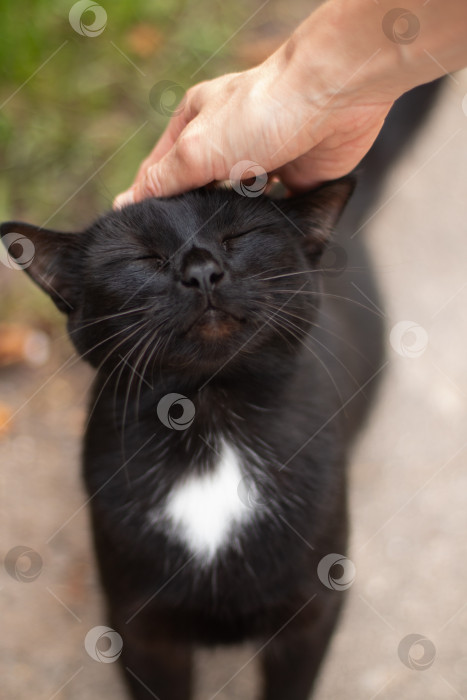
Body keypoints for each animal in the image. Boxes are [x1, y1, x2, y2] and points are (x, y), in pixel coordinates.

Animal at [0, 82, 444, 700]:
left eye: (239, 237)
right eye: (143, 257)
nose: (202, 269)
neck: (208, 422)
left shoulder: (310, 616)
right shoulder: (141, 630)